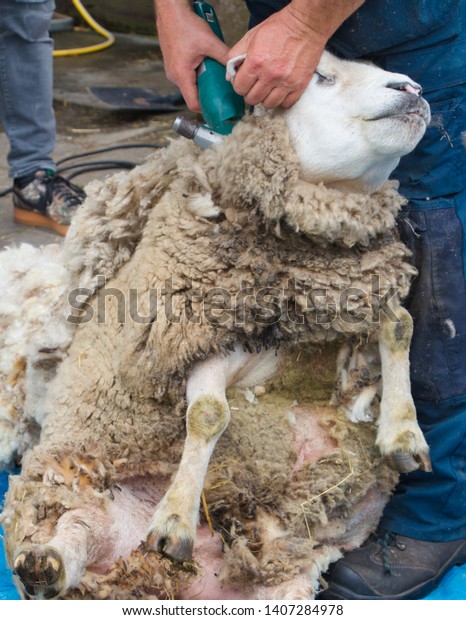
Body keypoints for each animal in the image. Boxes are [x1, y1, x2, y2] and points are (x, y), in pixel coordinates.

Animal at [0, 53, 432, 600]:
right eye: (321, 76)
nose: (413, 89)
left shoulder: (344, 299)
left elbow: (401, 325)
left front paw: (403, 434)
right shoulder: (197, 336)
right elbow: (208, 414)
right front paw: (174, 520)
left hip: (285, 580)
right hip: (73, 486)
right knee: (74, 531)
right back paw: (47, 562)